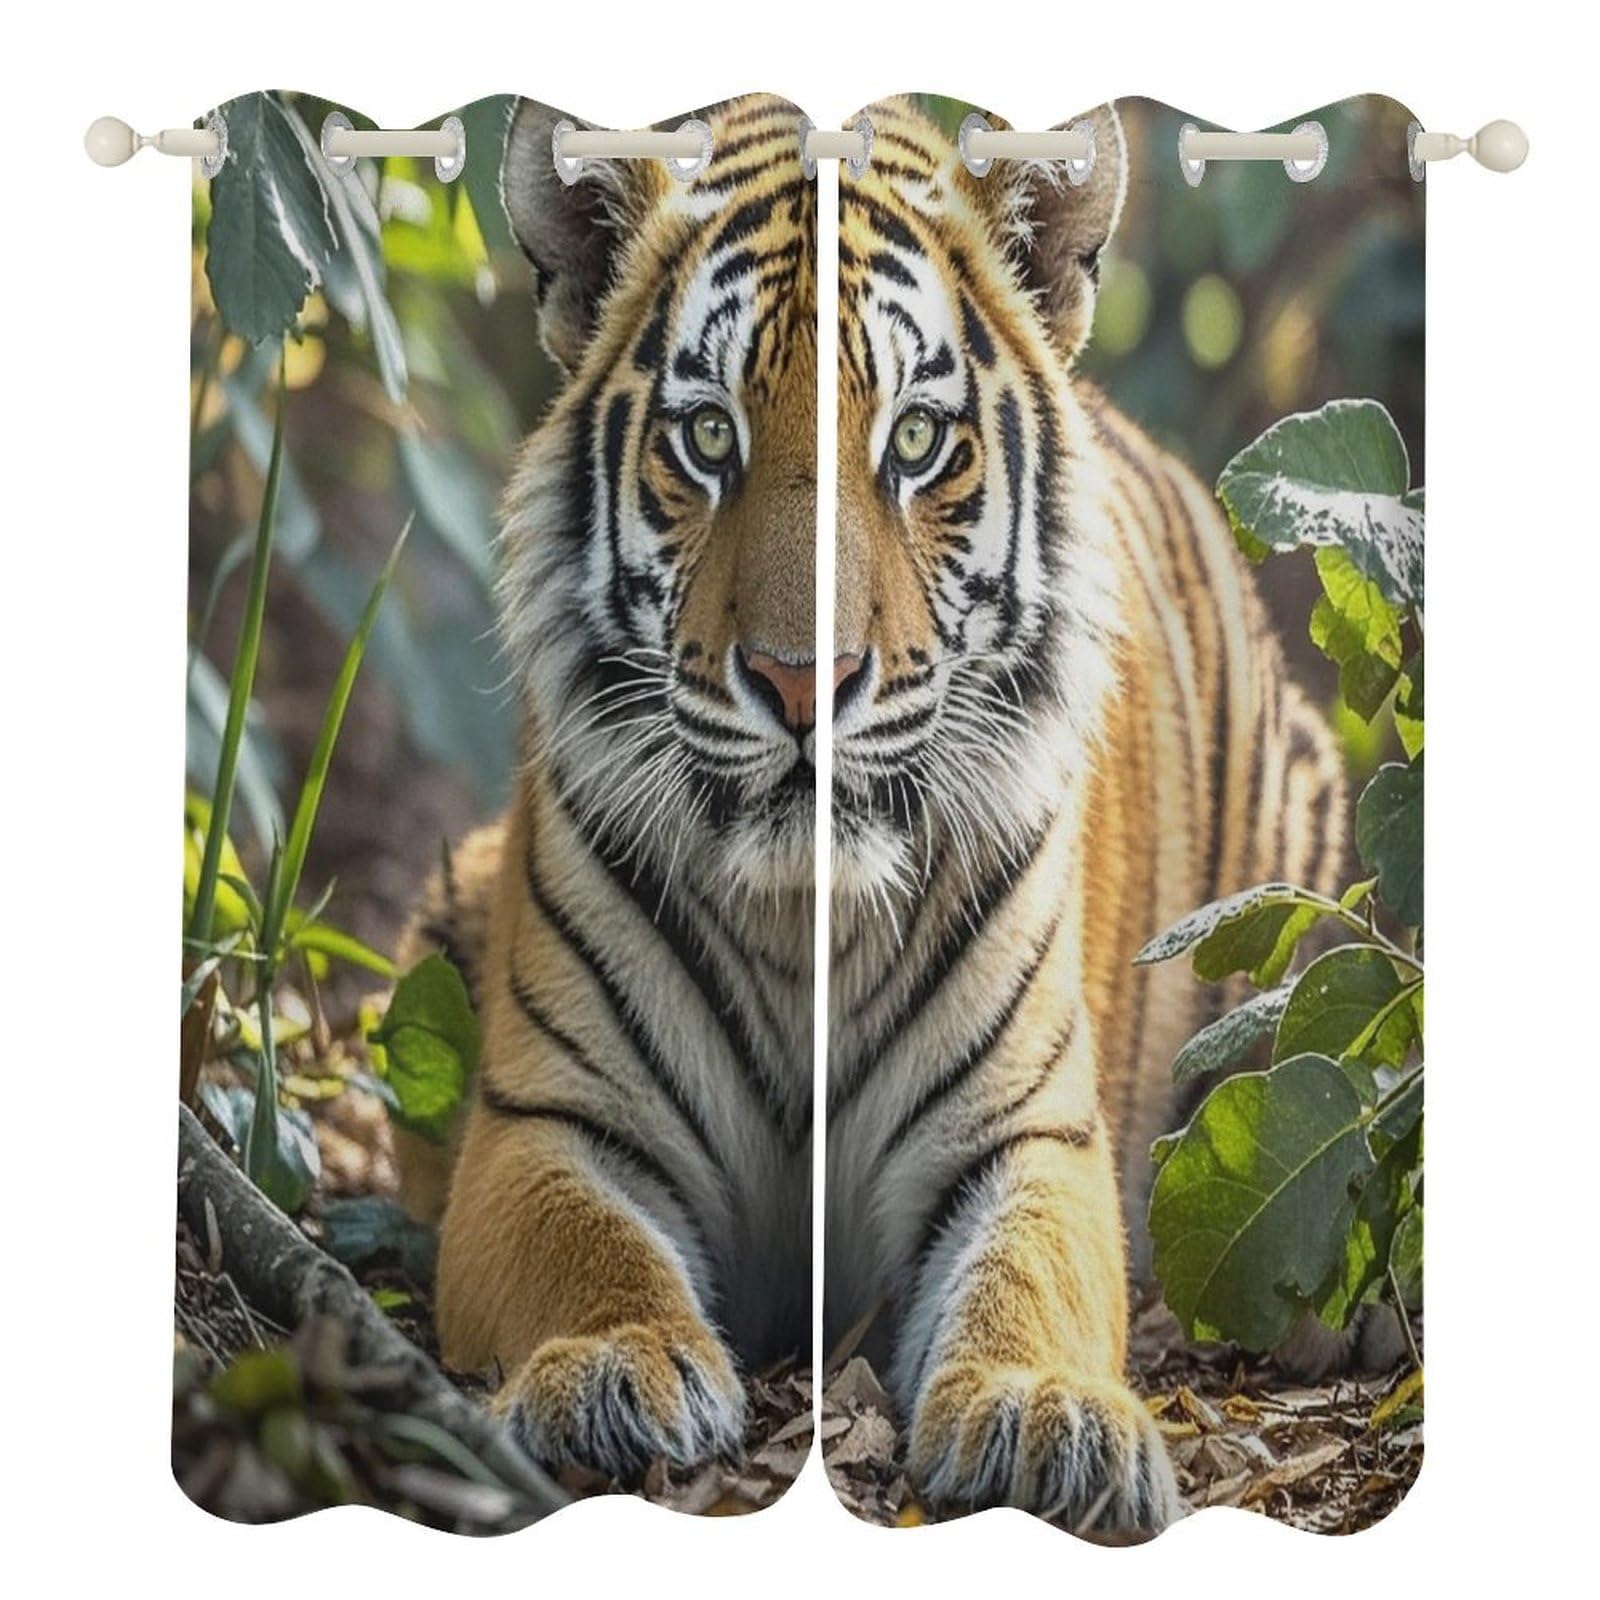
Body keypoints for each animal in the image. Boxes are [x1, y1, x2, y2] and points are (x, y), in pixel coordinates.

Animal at [394, 91, 1345, 1533]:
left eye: (912, 442)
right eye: (708, 439)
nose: (806, 682)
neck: (807, 917)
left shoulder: (1026, 1136)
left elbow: (1028, 1279)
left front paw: (1040, 1413)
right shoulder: (543, 1122)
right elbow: (585, 1245)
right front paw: (612, 1368)